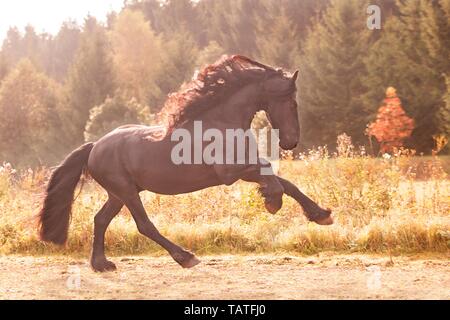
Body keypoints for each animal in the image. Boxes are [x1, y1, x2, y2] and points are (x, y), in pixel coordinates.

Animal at [38, 56, 332, 272]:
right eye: (291, 102)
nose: (291, 142)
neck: (222, 122)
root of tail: (94, 147)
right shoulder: (231, 173)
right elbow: (272, 176)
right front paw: (272, 201)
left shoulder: (243, 167)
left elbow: (287, 183)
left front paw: (321, 214)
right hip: (126, 192)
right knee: (144, 225)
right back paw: (185, 257)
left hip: (118, 194)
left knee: (100, 219)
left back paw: (101, 264)